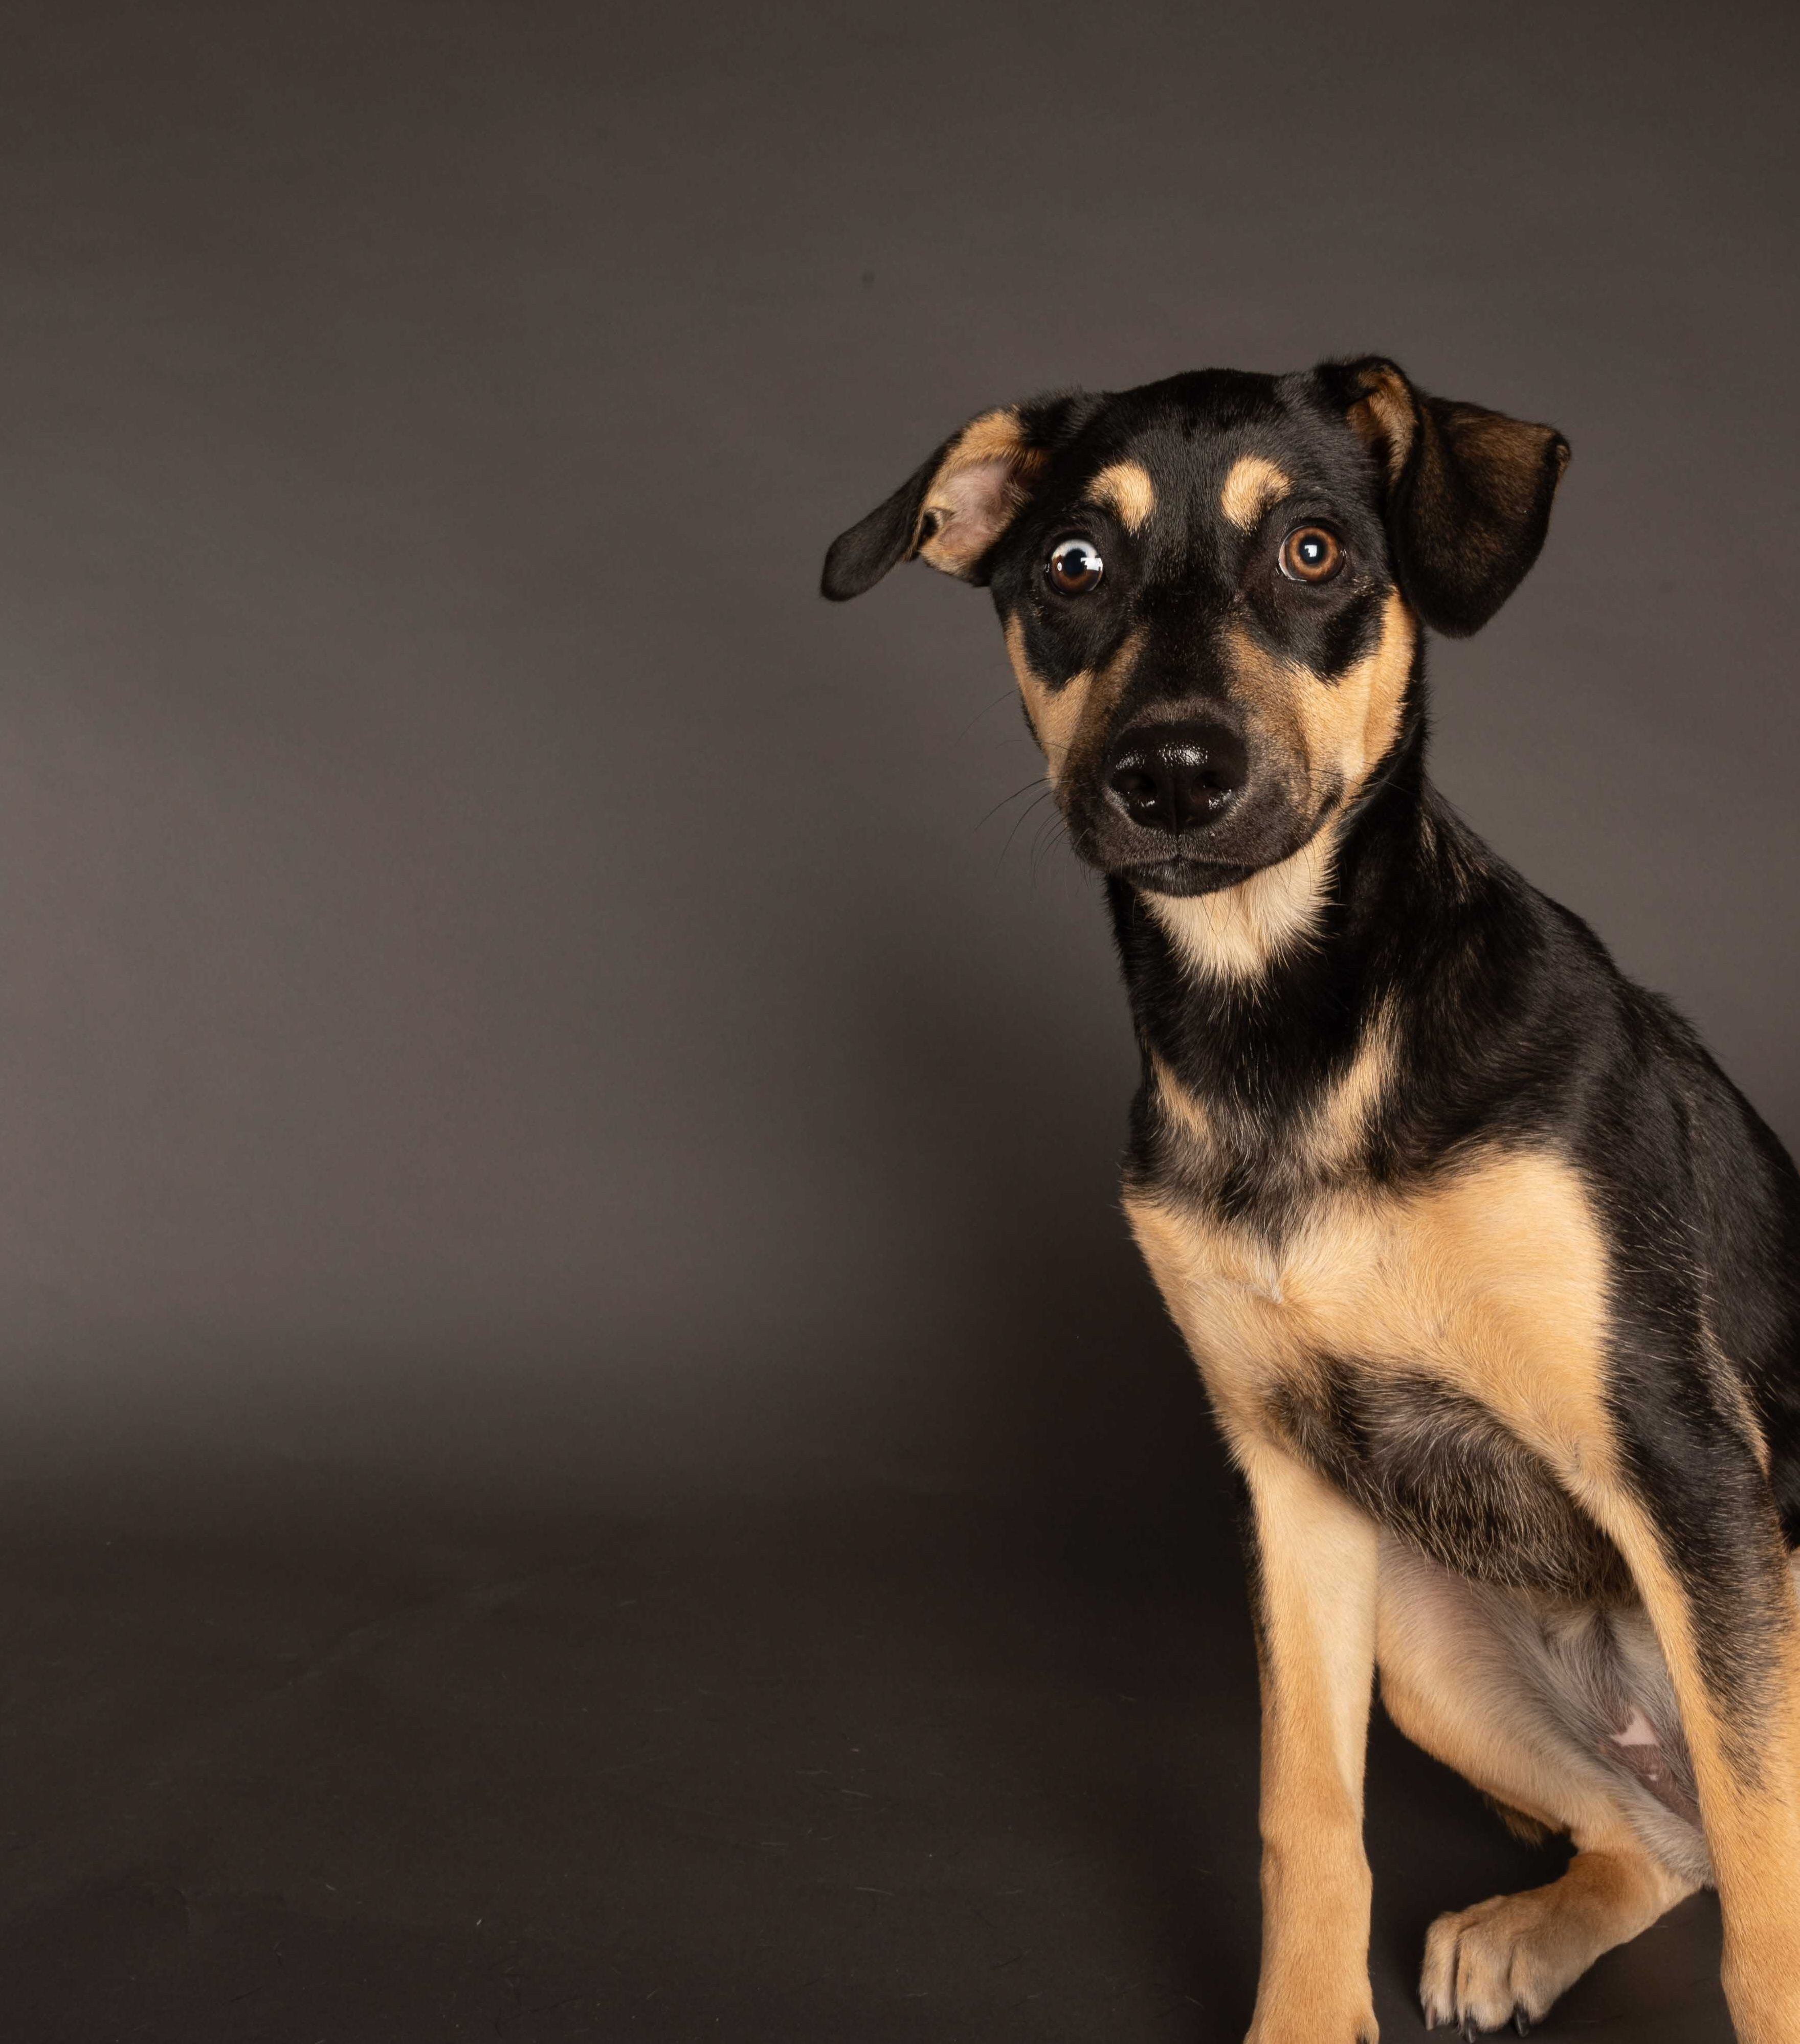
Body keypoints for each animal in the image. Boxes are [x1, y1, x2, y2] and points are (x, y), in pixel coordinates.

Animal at [822, 368, 1800, 2044]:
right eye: (1071, 566)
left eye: (1314, 552)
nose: (1170, 774)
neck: (1284, 1031)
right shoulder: (1290, 1488)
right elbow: (1307, 1815)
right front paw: (1301, 2017)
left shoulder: (1685, 1465)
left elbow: (1769, 1895)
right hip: (1427, 1647)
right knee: (1660, 1842)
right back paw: (1519, 1937)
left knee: (1722, 1830)